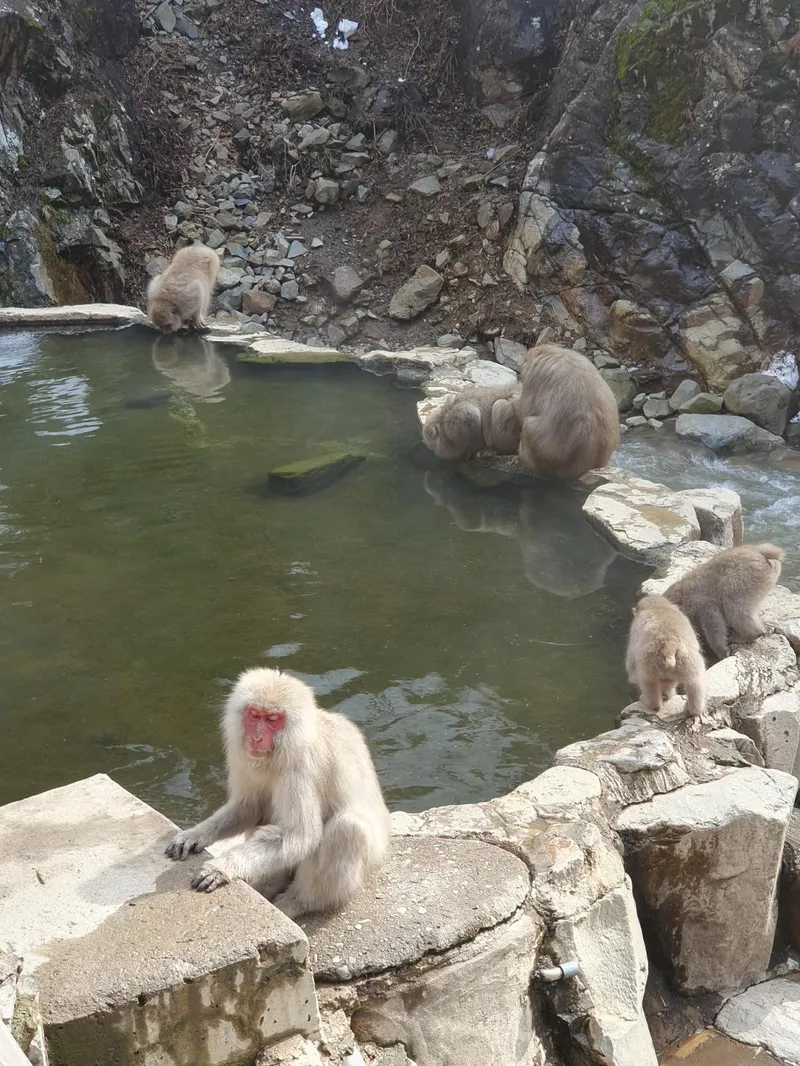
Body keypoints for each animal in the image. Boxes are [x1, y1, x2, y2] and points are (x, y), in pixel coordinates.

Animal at [166, 667, 390, 919]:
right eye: (255, 715)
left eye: (273, 719)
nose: (256, 737)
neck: (281, 750)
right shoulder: (242, 756)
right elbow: (248, 807)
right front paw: (195, 834)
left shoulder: (301, 766)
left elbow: (300, 835)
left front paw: (222, 867)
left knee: (348, 828)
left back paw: (296, 903)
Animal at [515, 345, 621, 480]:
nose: (519, 373)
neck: (552, 352)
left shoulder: (534, 376)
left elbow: (524, 410)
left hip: (546, 456)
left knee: (528, 425)